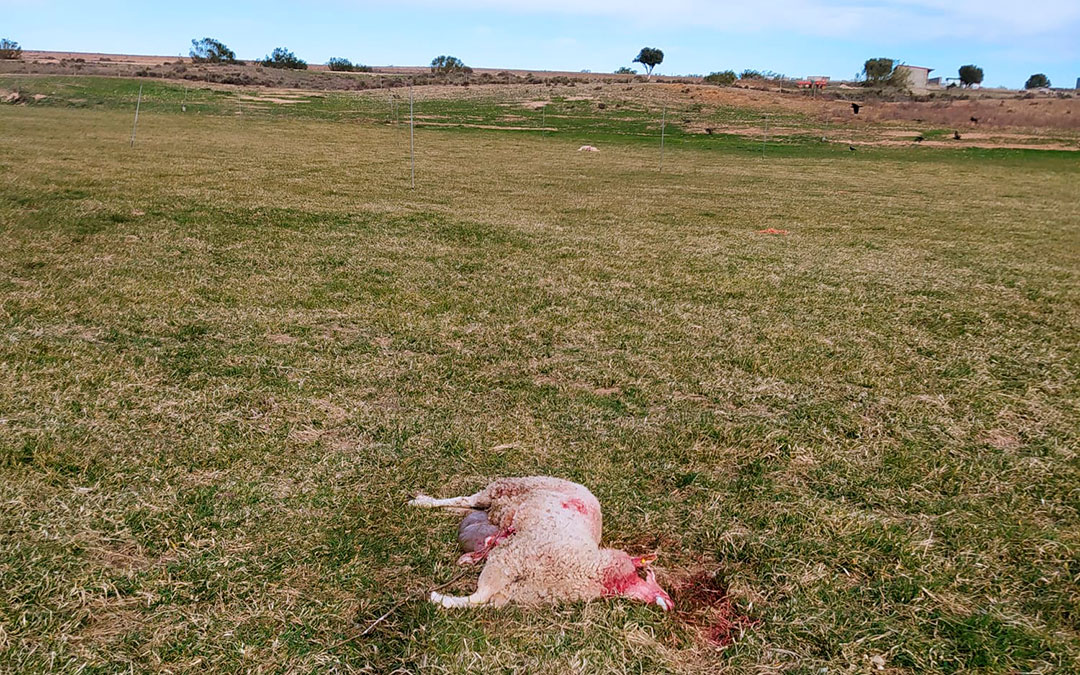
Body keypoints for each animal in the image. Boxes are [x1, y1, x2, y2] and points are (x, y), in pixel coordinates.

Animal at [409, 476, 673, 611]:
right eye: (648, 575)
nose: (669, 603)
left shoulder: (508, 581)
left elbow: (482, 600)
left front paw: (440, 598)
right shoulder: (507, 559)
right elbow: (478, 597)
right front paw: (437, 597)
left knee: (468, 507)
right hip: (503, 488)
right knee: (467, 499)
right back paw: (421, 502)